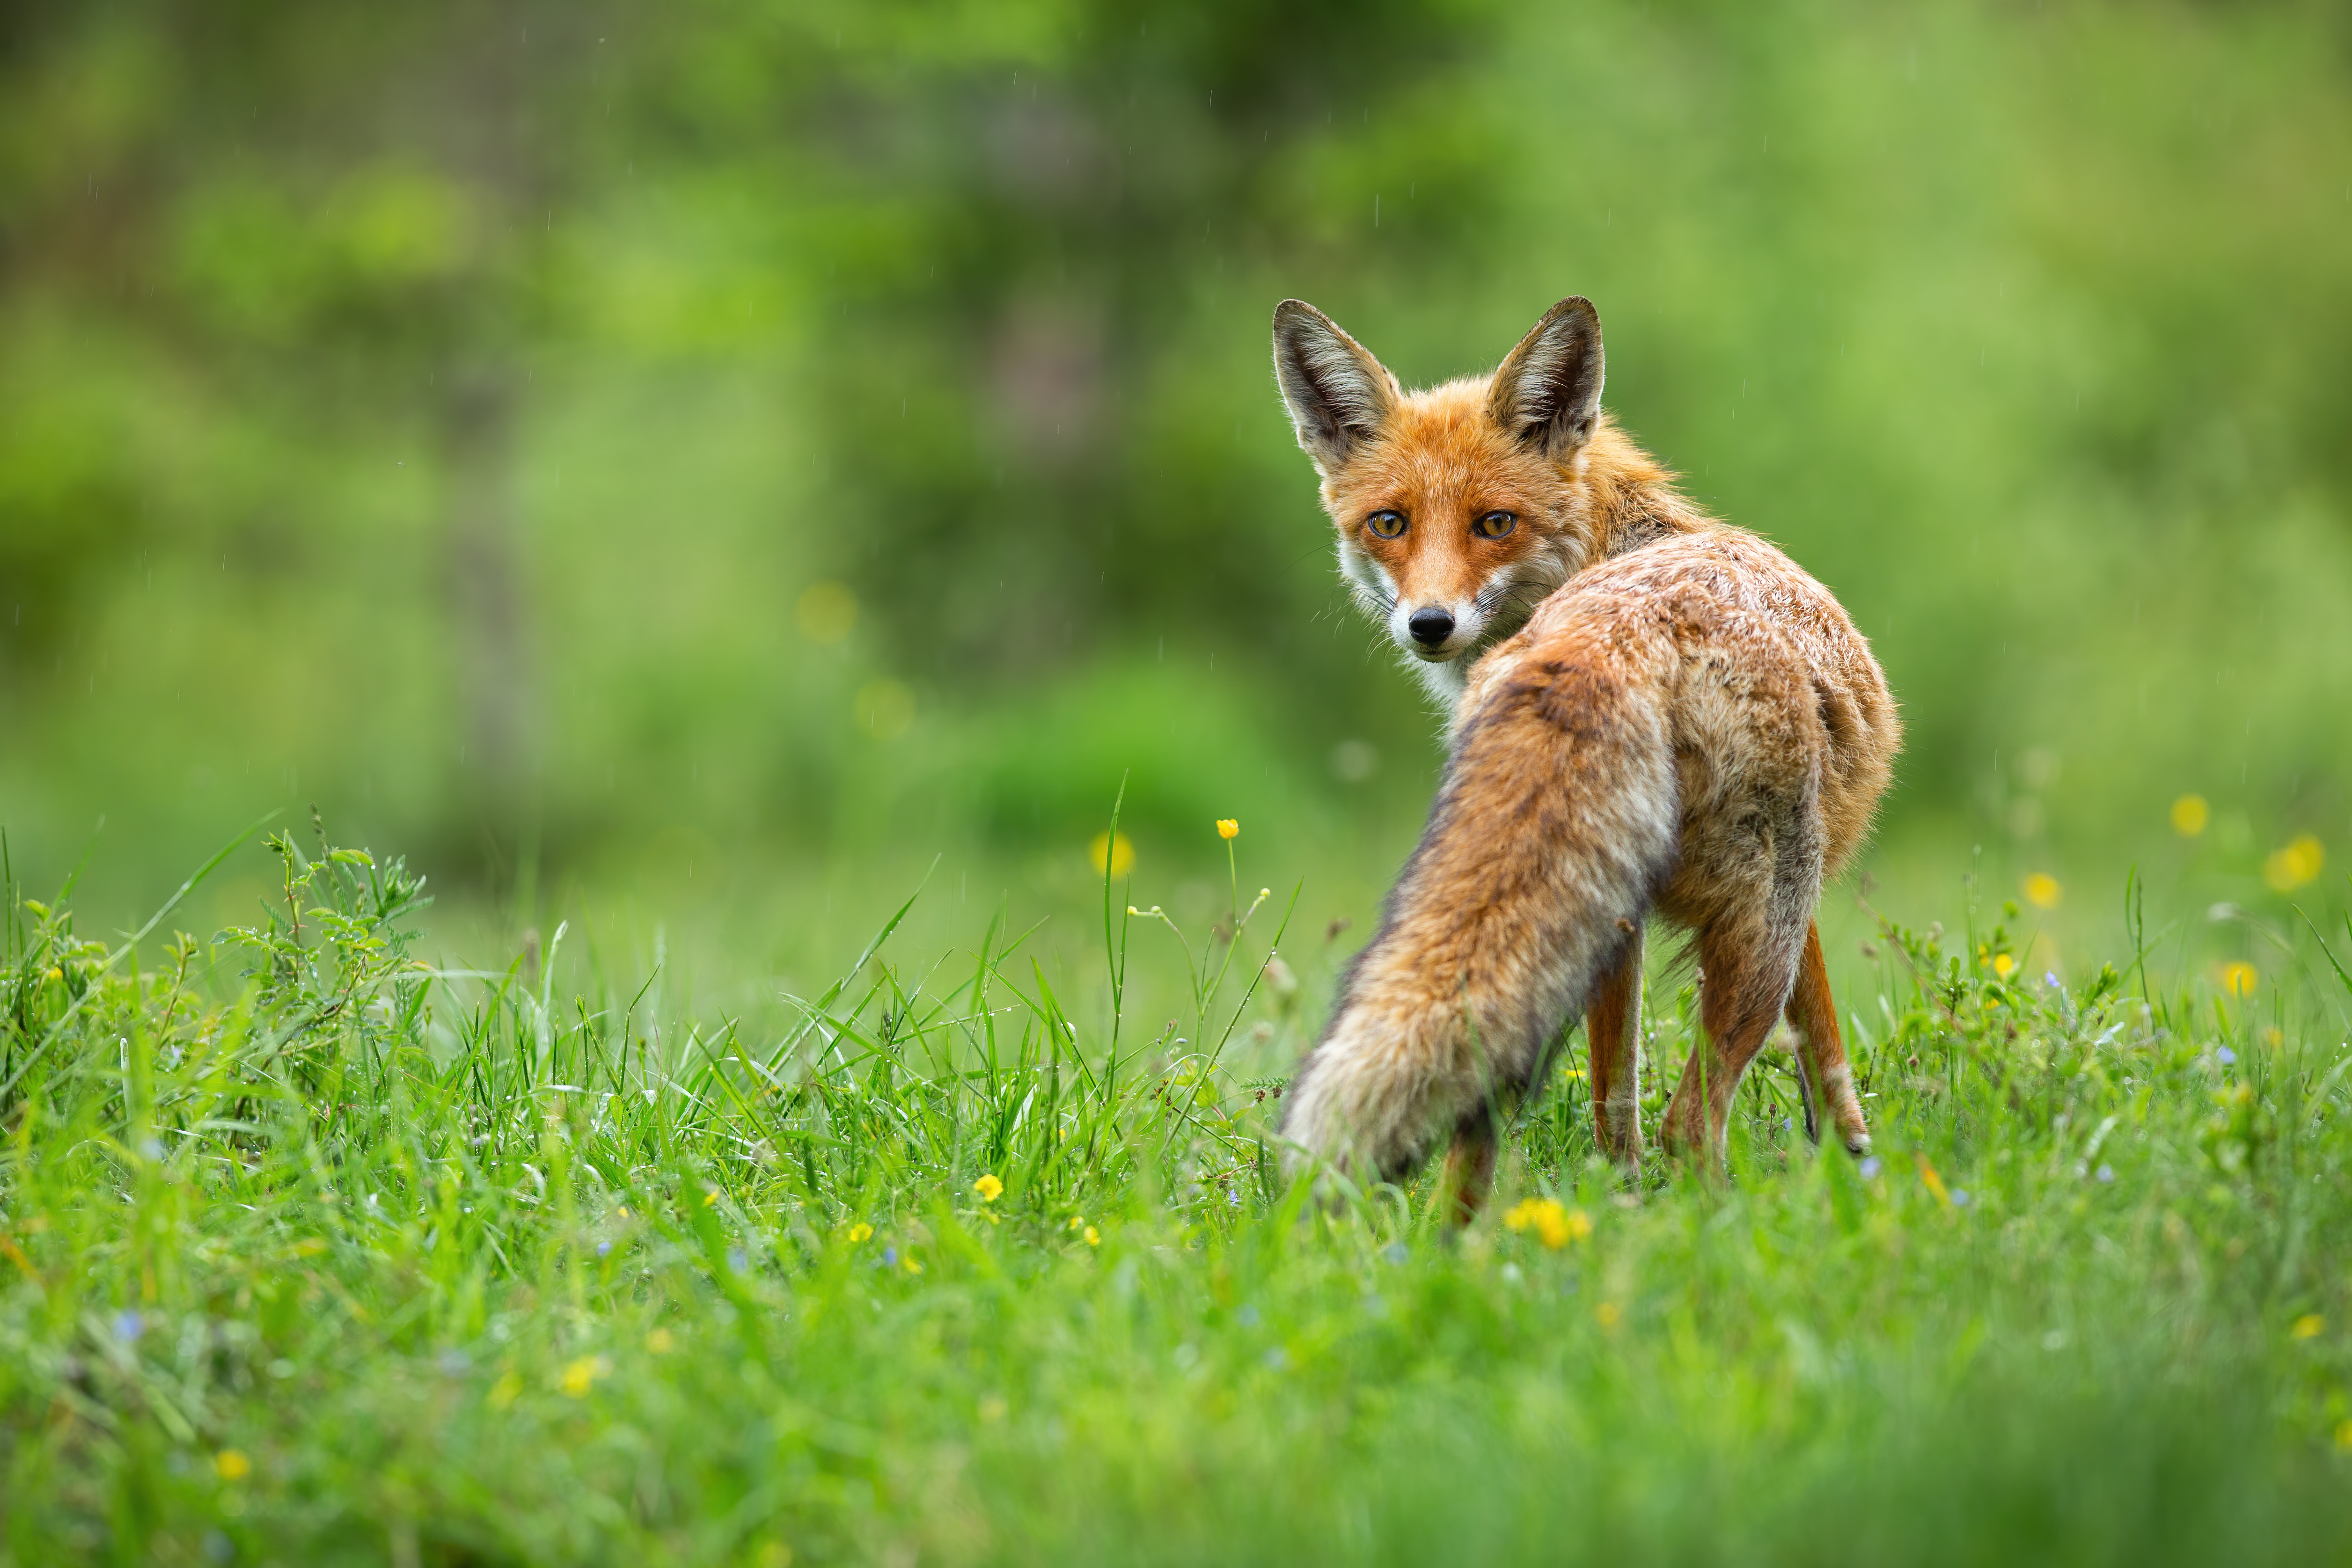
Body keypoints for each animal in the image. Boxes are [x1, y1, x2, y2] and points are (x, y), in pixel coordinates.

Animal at [1269, 296, 1899, 1206]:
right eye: (1390, 523)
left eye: (1495, 523)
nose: (1429, 624)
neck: (1610, 551)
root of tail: (1612, 636)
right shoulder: (1799, 884)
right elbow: (1827, 1045)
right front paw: (1860, 1169)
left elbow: (1633, 1085)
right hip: (1756, 921)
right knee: (1688, 1126)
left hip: (1582, 922)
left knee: (1496, 1128)